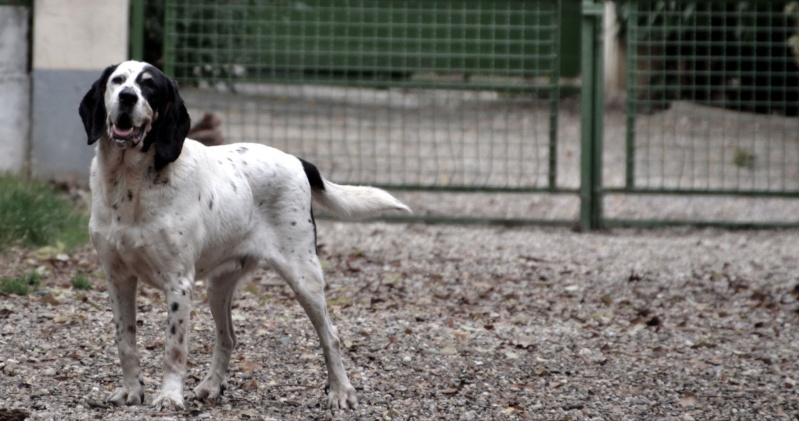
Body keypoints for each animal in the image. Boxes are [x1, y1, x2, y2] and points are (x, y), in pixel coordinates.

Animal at [79, 60, 412, 408]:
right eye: (118, 81)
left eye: (150, 87)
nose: (127, 97)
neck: (131, 184)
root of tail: (297, 161)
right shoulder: (118, 278)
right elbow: (125, 342)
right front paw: (132, 390)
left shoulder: (178, 283)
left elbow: (174, 349)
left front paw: (169, 396)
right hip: (218, 286)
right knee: (228, 337)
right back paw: (211, 386)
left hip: (304, 277)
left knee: (330, 336)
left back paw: (341, 392)